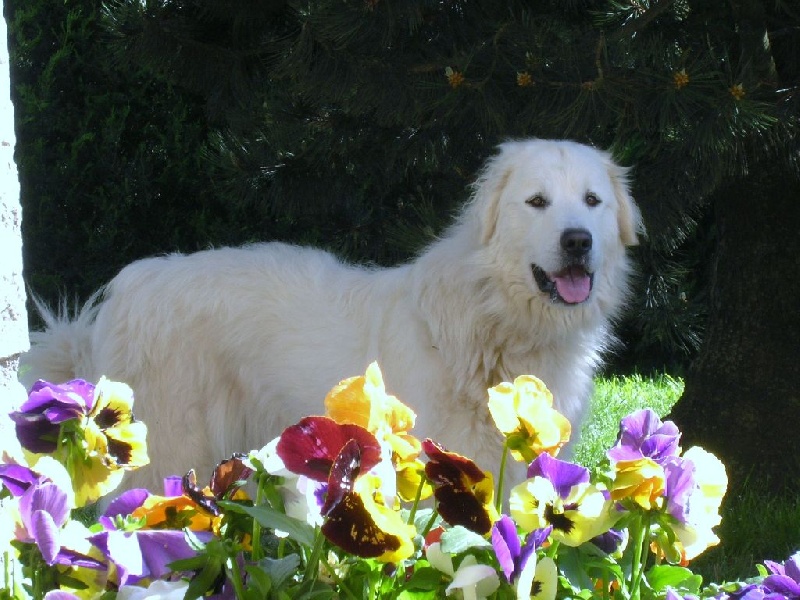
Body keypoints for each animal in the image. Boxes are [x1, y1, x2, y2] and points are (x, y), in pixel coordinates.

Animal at [20, 139, 644, 492]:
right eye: (536, 202)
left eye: (592, 201)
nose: (578, 241)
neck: (493, 316)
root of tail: (127, 288)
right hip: (169, 453)